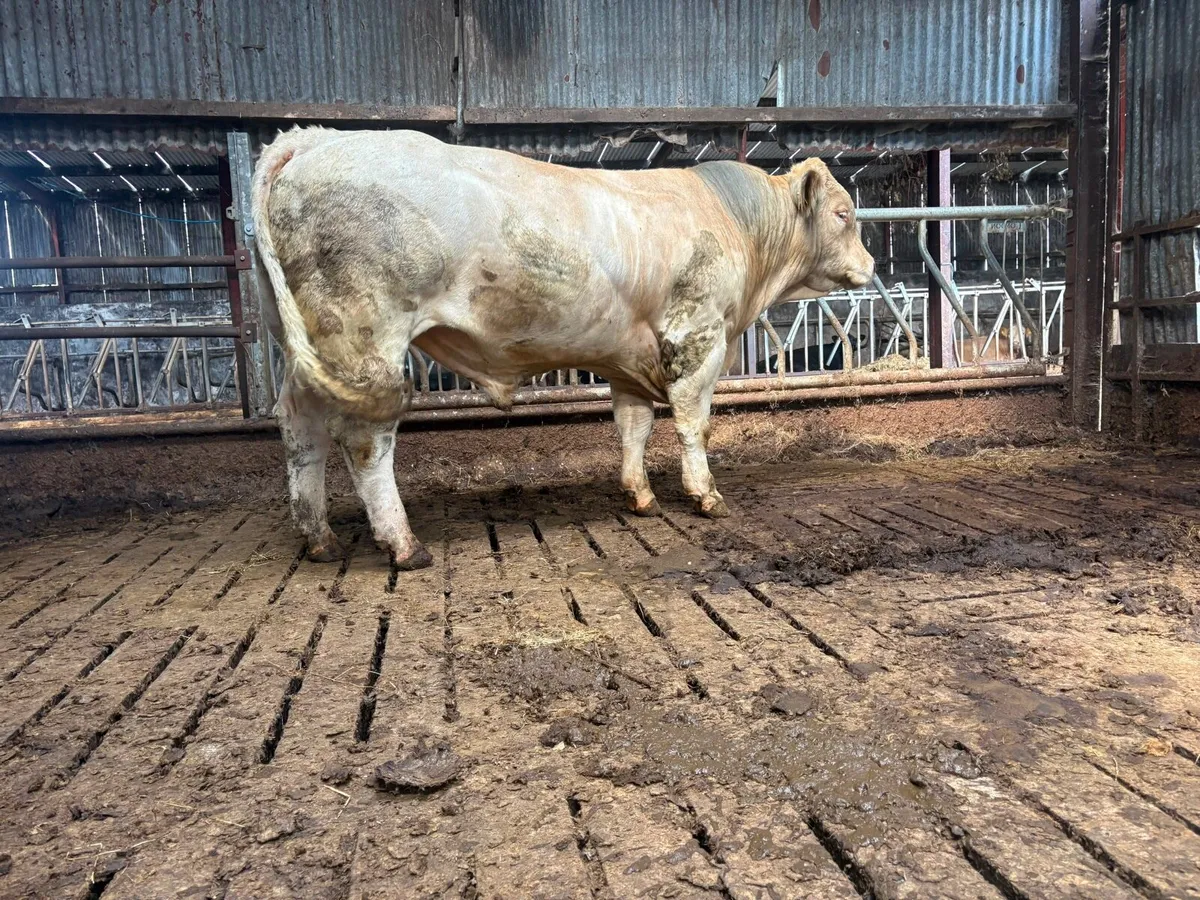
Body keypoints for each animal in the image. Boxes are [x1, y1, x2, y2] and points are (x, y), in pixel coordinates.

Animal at [251, 128, 874, 570]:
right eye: (843, 213)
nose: (870, 265)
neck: (734, 224)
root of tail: (314, 138)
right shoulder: (698, 336)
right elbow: (694, 425)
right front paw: (706, 495)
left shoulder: (629, 358)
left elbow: (633, 428)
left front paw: (641, 496)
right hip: (367, 336)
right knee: (363, 439)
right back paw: (403, 544)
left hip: (309, 345)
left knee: (300, 426)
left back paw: (319, 538)